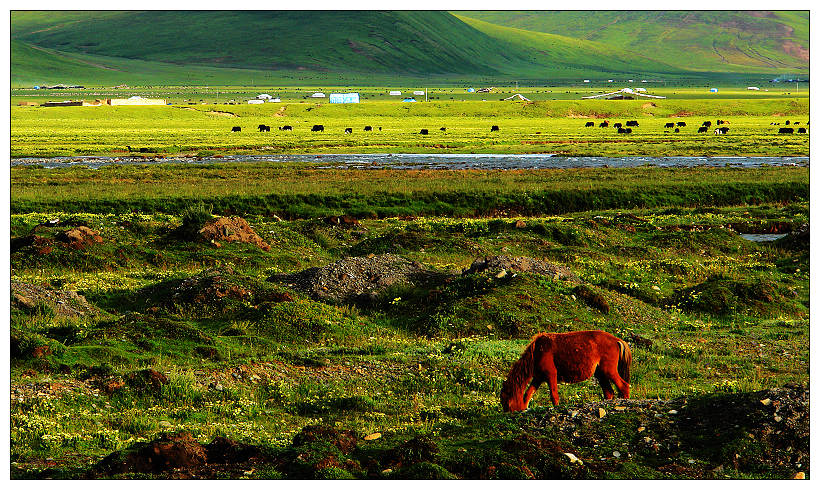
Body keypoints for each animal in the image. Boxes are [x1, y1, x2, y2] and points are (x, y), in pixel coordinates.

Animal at [500, 332, 628, 412]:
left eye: (506, 398)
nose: (507, 412)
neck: (537, 352)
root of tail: (617, 340)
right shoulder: (538, 378)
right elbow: (528, 394)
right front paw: (524, 408)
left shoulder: (551, 374)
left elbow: (554, 395)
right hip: (600, 374)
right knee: (609, 392)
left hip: (608, 371)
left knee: (624, 386)